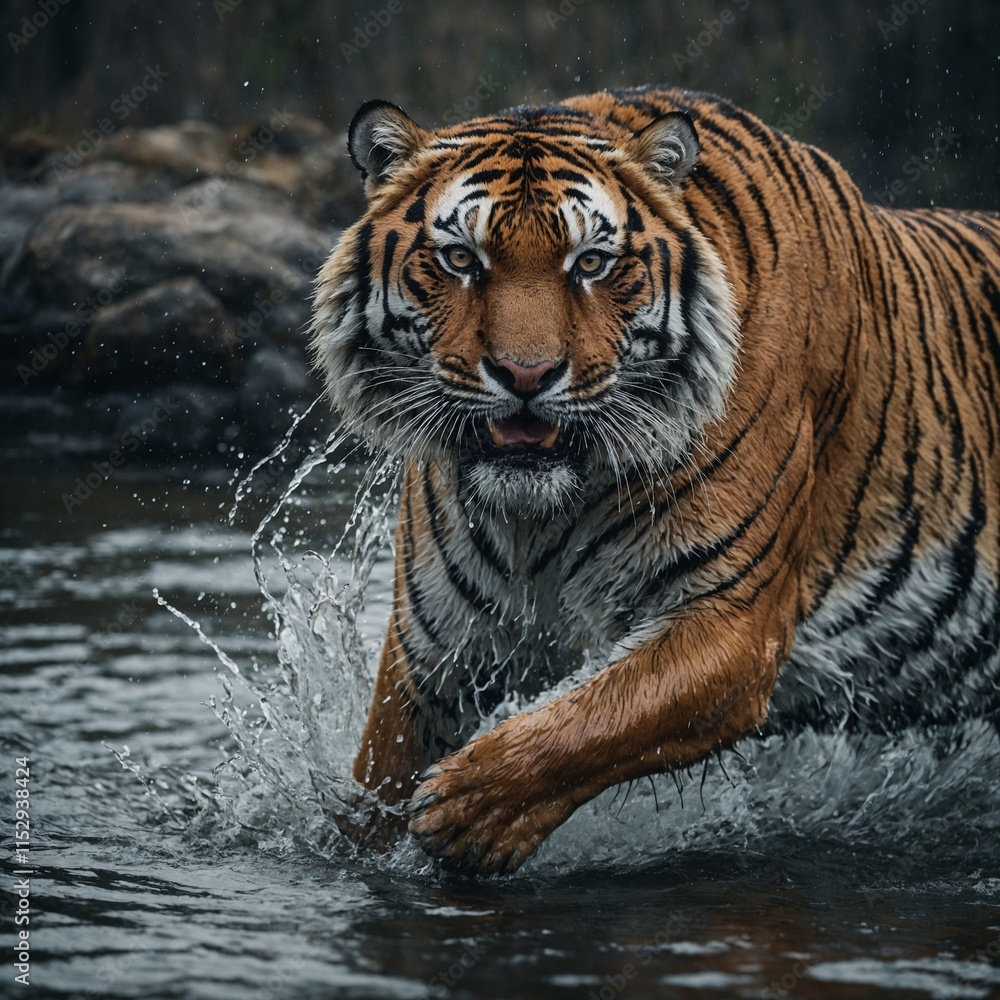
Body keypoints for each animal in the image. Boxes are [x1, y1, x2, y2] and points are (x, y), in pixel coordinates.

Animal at [311, 86, 1000, 875]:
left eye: (591, 262)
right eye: (460, 258)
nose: (526, 375)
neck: (539, 518)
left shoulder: (732, 621)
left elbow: (595, 721)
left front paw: (465, 810)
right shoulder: (436, 644)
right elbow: (378, 777)